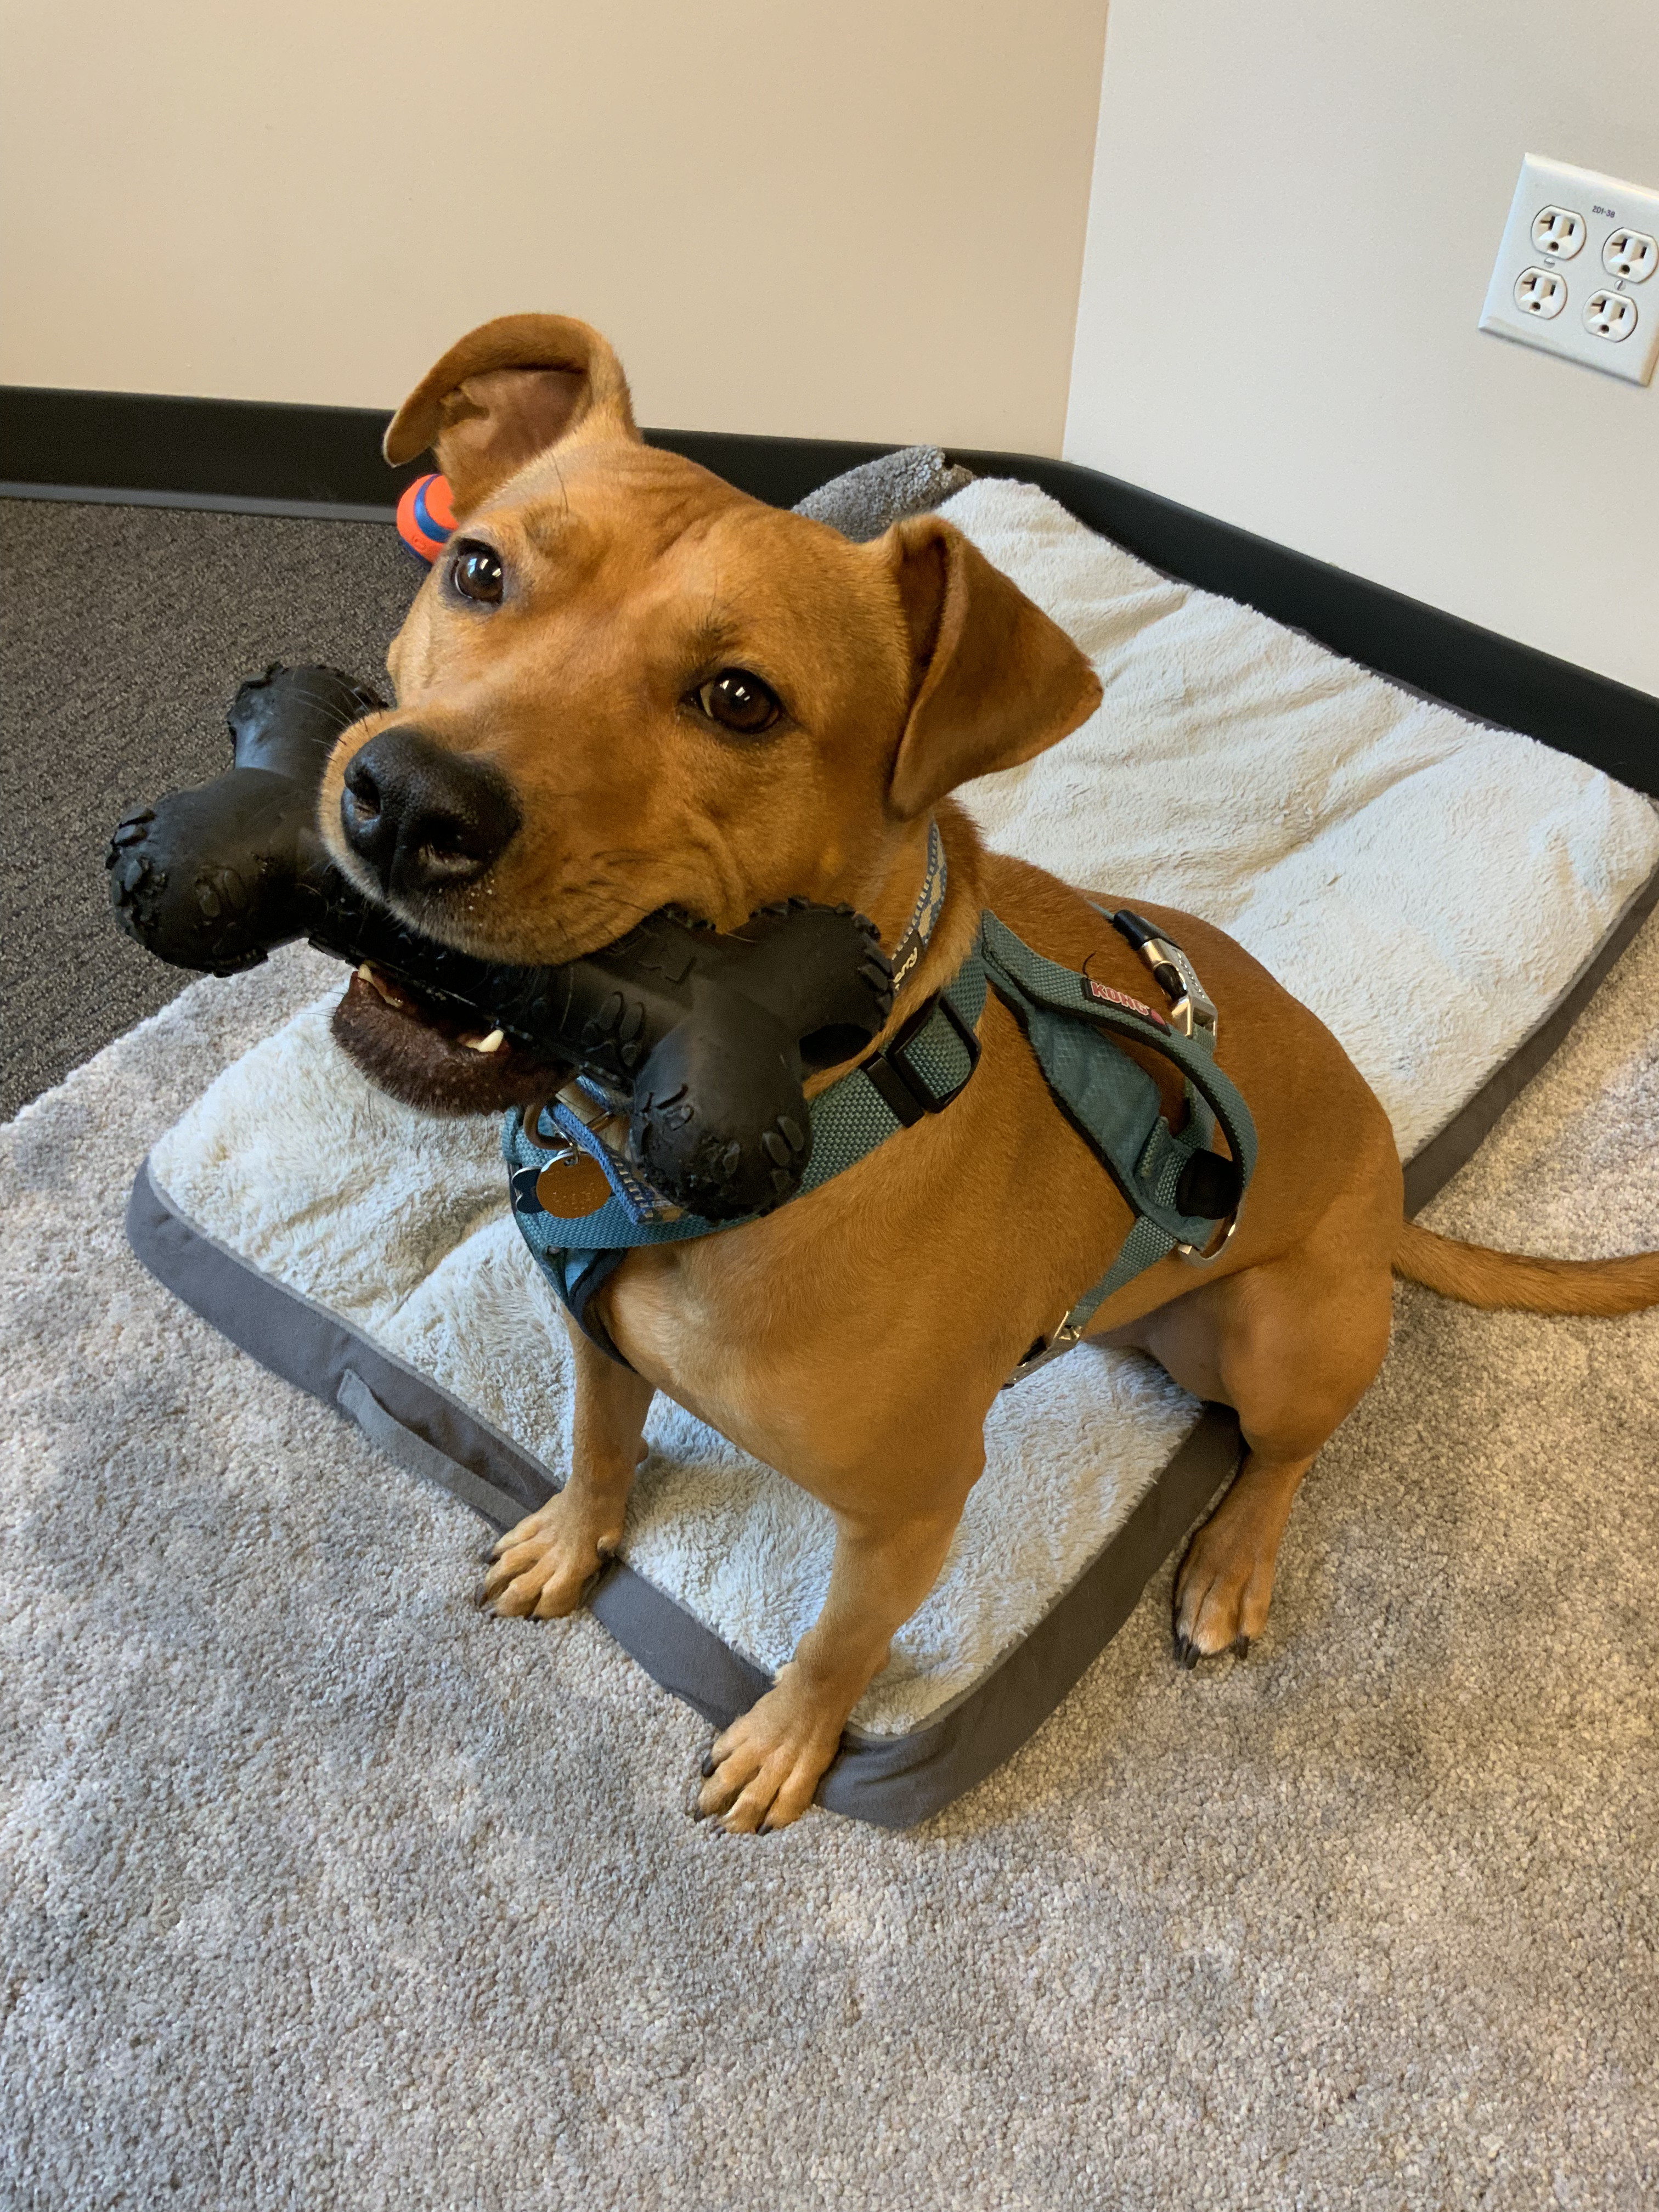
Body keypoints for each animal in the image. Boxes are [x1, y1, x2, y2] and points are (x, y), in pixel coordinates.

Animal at [320, 312, 1659, 1831]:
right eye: (480, 569)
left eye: (739, 700)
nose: (406, 802)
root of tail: (1388, 1179)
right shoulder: (597, 1343)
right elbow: (600, 1448)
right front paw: (571, 1535)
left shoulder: (909, 1515)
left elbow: (839, 1643)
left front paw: (790, 1738)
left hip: (1283, 1334)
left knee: (1285, 1450)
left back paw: (1233, 1557)